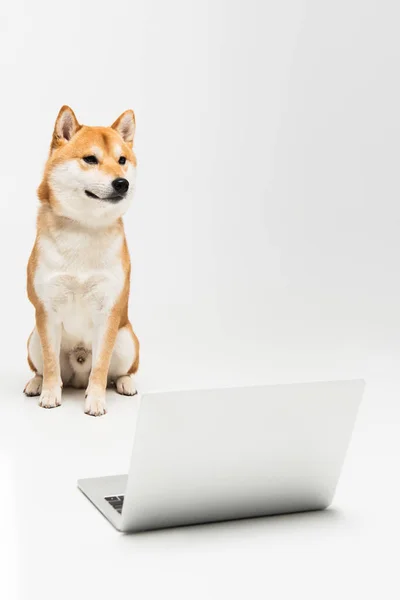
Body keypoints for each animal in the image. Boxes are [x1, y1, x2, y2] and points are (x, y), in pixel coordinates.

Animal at [23, 106, 139, 418]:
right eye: (90, 159)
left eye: (122, 160)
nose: (122, 183)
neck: (85, 229)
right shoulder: (47, 312)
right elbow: (51, 365)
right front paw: (50, 394)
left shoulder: (108, 312)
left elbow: (100, 368)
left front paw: (96, 401)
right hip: (33, 338)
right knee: (41, 368)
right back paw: (35, 383)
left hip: (127, 340)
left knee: (120, 371)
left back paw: (125, 383)